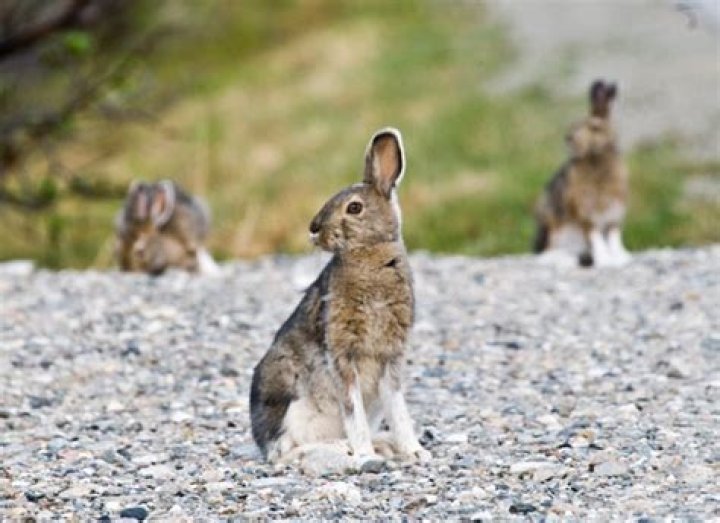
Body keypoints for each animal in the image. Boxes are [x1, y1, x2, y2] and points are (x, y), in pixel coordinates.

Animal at [250, 128, 430, 471]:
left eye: (354, 208)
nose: (313, 228)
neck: (369, 258)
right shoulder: (342, 352)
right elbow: (352, 409)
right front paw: (364, 454)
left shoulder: (390, 356)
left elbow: (398, 408)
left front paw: (415, 452)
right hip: (290, 402)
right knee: (286, 452)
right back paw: (344, 448)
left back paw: (382, 445)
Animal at [533, 79, 631, 268]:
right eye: (574, 125)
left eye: (595, 128)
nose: (569, 138)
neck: (596, 159)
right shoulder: (585, 214)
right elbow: (596, 238)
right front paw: (605, 261)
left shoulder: (614, 214)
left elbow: (614, 238)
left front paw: (622, 258)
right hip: (555, 232)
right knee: (550, 253)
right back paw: (564, 260)